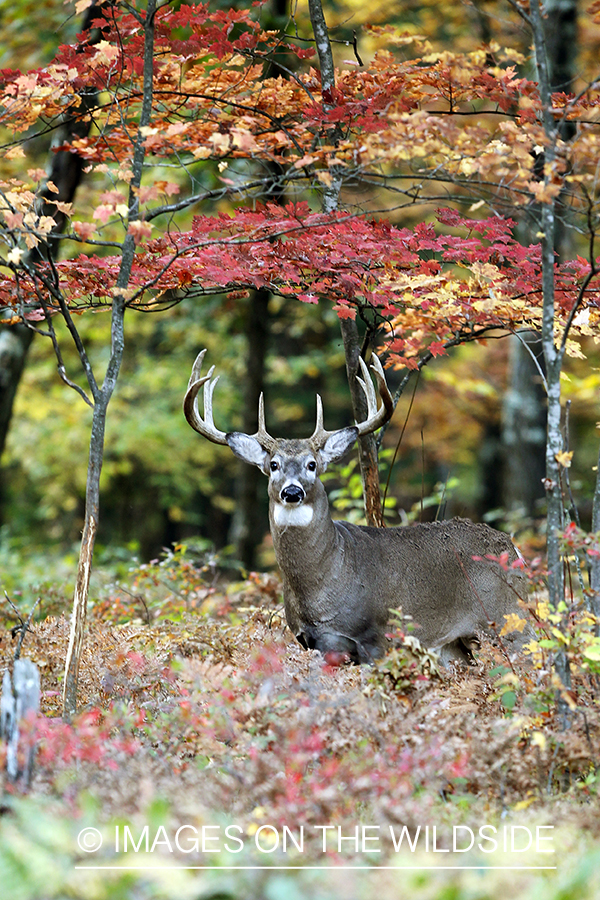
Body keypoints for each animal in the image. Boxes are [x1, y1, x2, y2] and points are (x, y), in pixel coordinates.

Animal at [184, 352, 528, 668]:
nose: (292, 491)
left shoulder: (376, 636)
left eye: (312, 464)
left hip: (509, 618)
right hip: (455, 644)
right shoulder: (312, 641)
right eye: (274, 465)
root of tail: (513, 547)